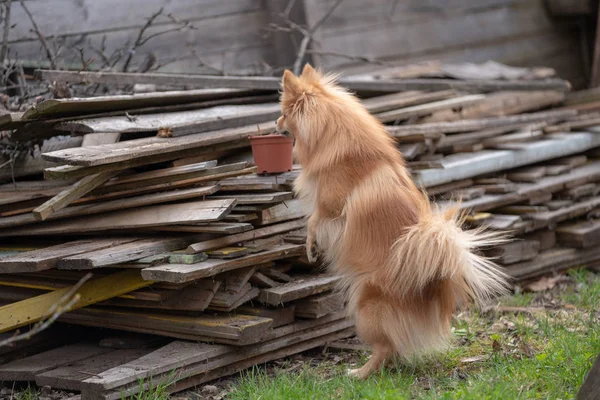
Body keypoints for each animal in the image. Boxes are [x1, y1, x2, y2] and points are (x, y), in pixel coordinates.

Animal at [274, 64, 508, 380]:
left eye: (284, 113)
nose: (275, 122)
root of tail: (432, 286)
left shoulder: (331, 207)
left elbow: (313, 222)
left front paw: (310, 248)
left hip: (366, 308)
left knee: (385, 348)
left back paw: (359, 373)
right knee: (393, 350)